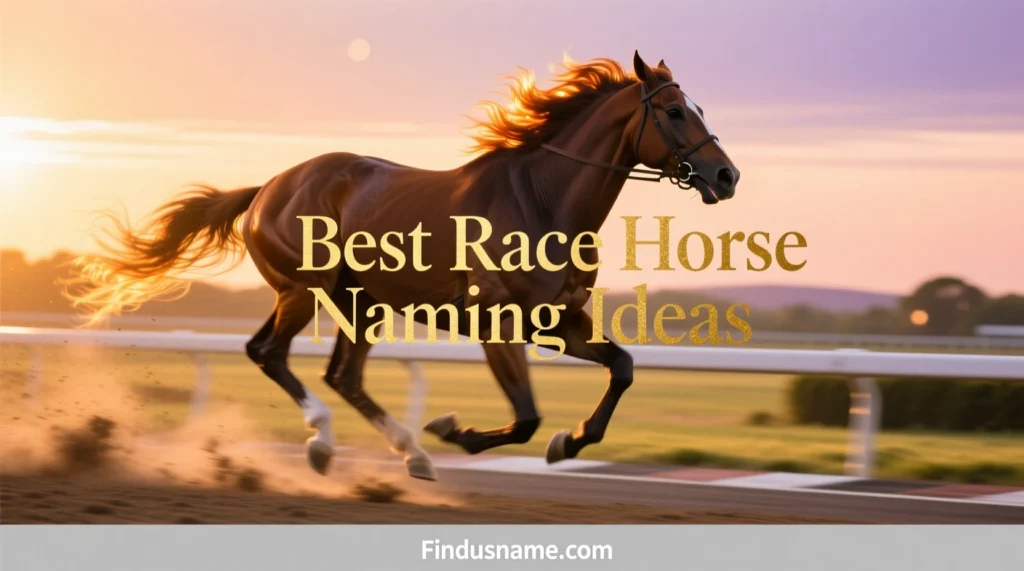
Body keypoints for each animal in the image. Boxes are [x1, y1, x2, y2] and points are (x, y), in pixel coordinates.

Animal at [66, 52, 740, 481]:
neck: (544, 200)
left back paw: (405, 451)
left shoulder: (557, 322)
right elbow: (524, 417)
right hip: (304, 290)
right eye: (675, 111)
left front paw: (568, 441)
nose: (726, 175)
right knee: (270, 353)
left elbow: (620, 368)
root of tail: (268, 188)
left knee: (340, 374)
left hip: (360, 303)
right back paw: (328, 438)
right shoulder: (497, 322)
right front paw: (453, 429)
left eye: (702, 108)